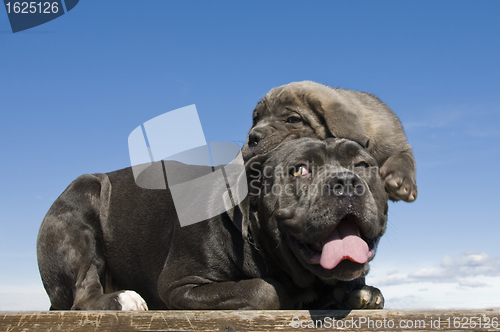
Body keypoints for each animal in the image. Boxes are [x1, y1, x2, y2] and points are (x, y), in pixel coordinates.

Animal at [38, 137, 386, 308]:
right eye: (300, 169)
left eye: (363, 165)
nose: (346, 181)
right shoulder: (181, 285)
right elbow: (264, 290)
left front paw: (358, 292)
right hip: (82, 200)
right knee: (84, 294)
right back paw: (122, 299)